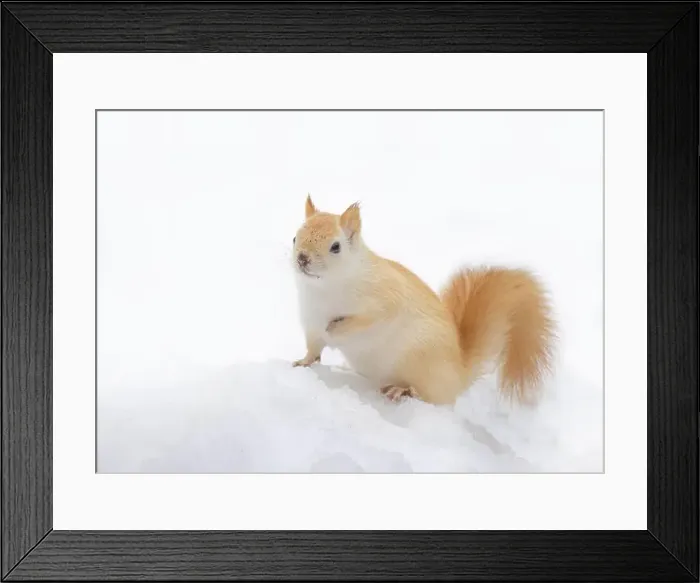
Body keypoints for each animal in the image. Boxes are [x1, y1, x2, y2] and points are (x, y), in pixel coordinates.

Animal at [291, 195, 556, 406]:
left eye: (335, 247)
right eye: (295, 237)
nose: (302, 258)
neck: (323, 288)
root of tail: (458, 374)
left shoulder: (385, 299)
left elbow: (367, 319)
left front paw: (336, 329)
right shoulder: (310, 321)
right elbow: (313, 348)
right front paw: (302, 362)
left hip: (423, 364)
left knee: (432, 397)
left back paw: (403, 390)